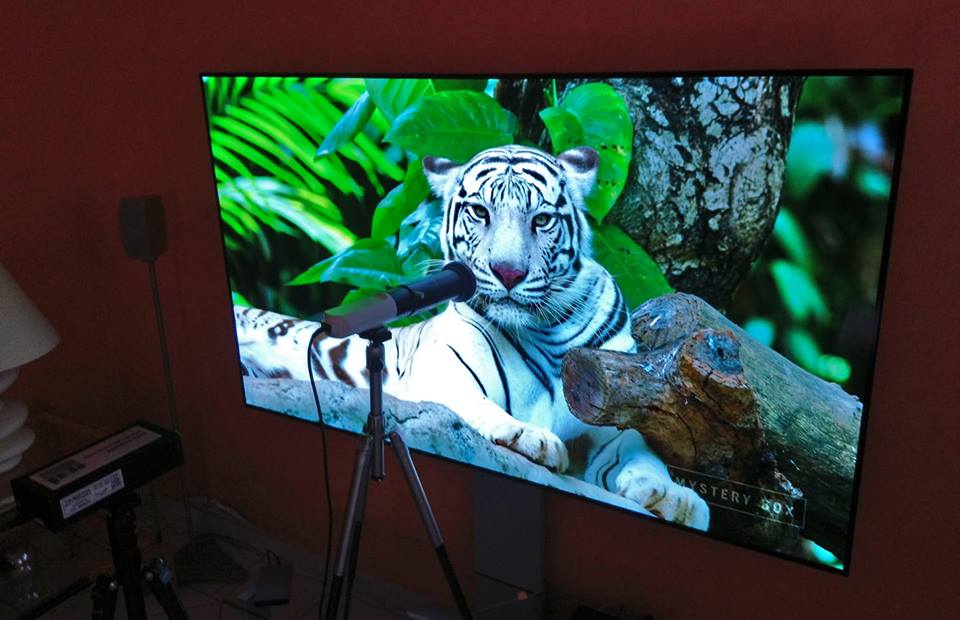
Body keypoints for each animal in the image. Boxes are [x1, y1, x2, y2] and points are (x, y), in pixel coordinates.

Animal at [236, 145, 709, 530]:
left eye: (541, 220)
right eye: (481, 212)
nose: (509, 272)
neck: (549, 331)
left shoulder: (611, 407)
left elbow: (641, 450)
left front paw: (677, 497)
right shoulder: (436, 372)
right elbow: (474, 404)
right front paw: (530, 435)